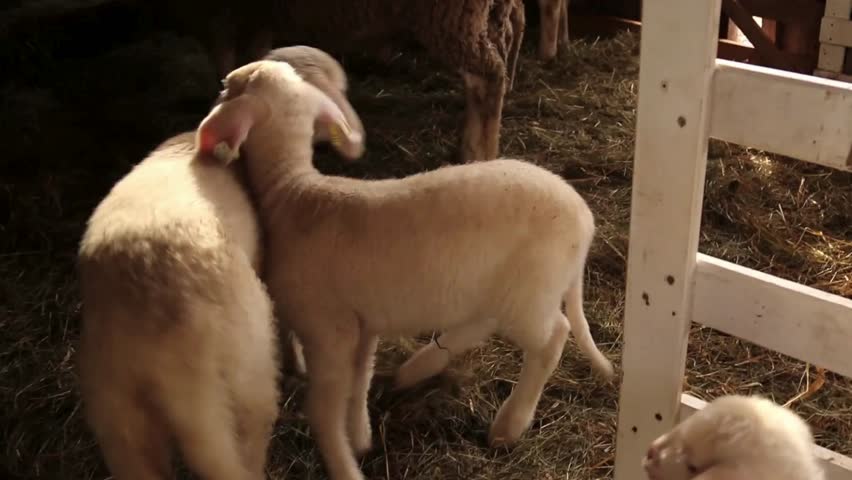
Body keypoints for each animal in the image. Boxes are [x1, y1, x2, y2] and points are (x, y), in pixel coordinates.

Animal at [196, 59, 615, 480]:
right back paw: (414, 370)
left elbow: (324, 410)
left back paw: (508, 425)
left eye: (227, 87)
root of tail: (584, 217)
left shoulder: (327, 328)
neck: (291, 190)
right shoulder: (362, 326)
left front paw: (343, 464)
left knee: (552, 338)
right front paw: (360, 438)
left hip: (531, 292)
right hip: (498, 289)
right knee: (479, 325)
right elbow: (359, 381)